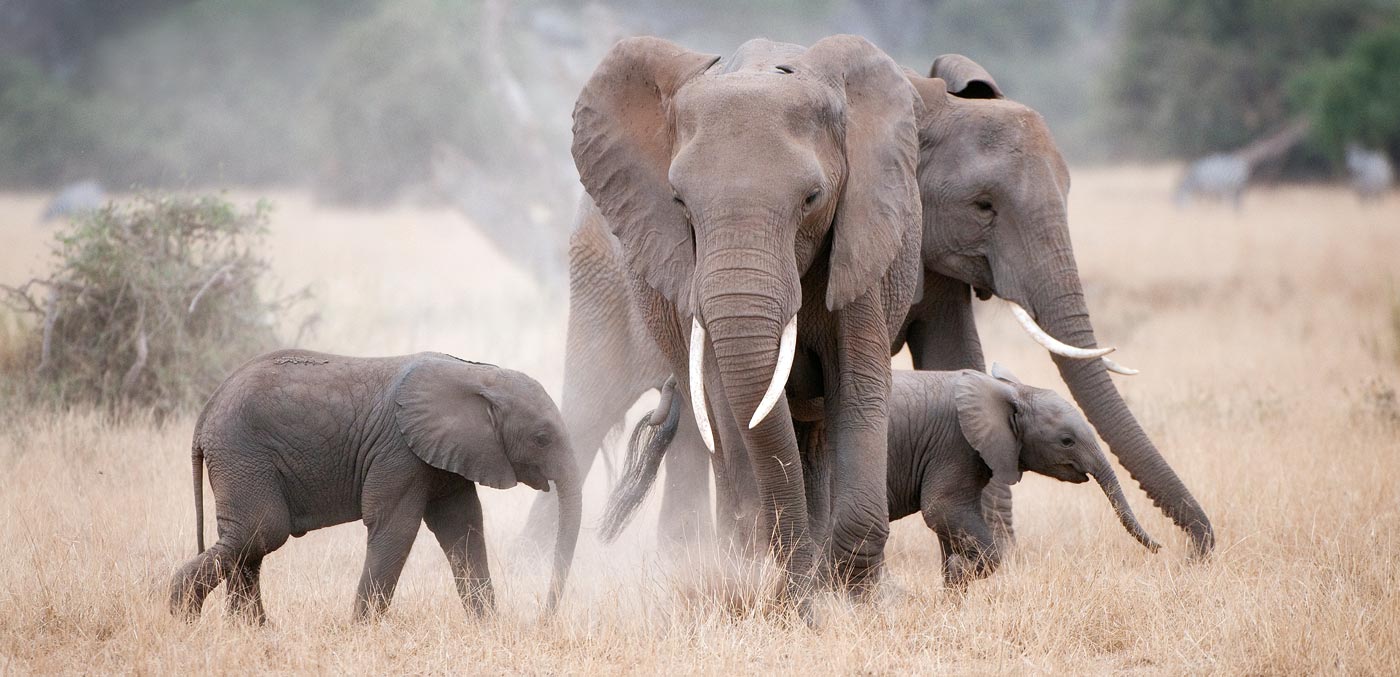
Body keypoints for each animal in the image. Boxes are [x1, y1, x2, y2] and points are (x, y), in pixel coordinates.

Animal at [168, 349, 581, 623]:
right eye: (542, 438)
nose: (542, 620)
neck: (475, 375)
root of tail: (207, 412)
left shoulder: (448, 455)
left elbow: (463, 527)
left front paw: (487, 628)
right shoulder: (399, 452)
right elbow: (397, 527)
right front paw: (361, 629)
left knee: (248, 542)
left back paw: (252, 629)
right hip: (242, 454)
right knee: (261, 531)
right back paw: (183, 616)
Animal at [564, 34, 925, 619]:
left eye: (812, 199)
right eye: (679, 202)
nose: (799, 602)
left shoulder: (861, 239)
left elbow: (858, 387)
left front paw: (851, 598)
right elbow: (726, 401)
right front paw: (777, 583)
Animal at [600, 364, 1159, 588]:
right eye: (1066, 440)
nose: (1159, 550)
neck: (1009, 390)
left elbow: (950, 522)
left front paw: (953, 584)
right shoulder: (955, 446)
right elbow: (943, 510)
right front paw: (964, 577)